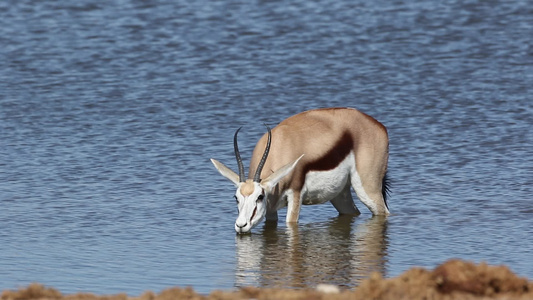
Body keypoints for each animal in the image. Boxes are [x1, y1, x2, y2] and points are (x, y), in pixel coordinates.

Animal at [210, 106, 388, 233]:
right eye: (236, 197)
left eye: (260, 197)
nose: (241, 225)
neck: (281, 146)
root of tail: (379, 126)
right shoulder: (271, 208)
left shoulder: (295, 195)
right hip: (340, 195)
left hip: (368, 190)